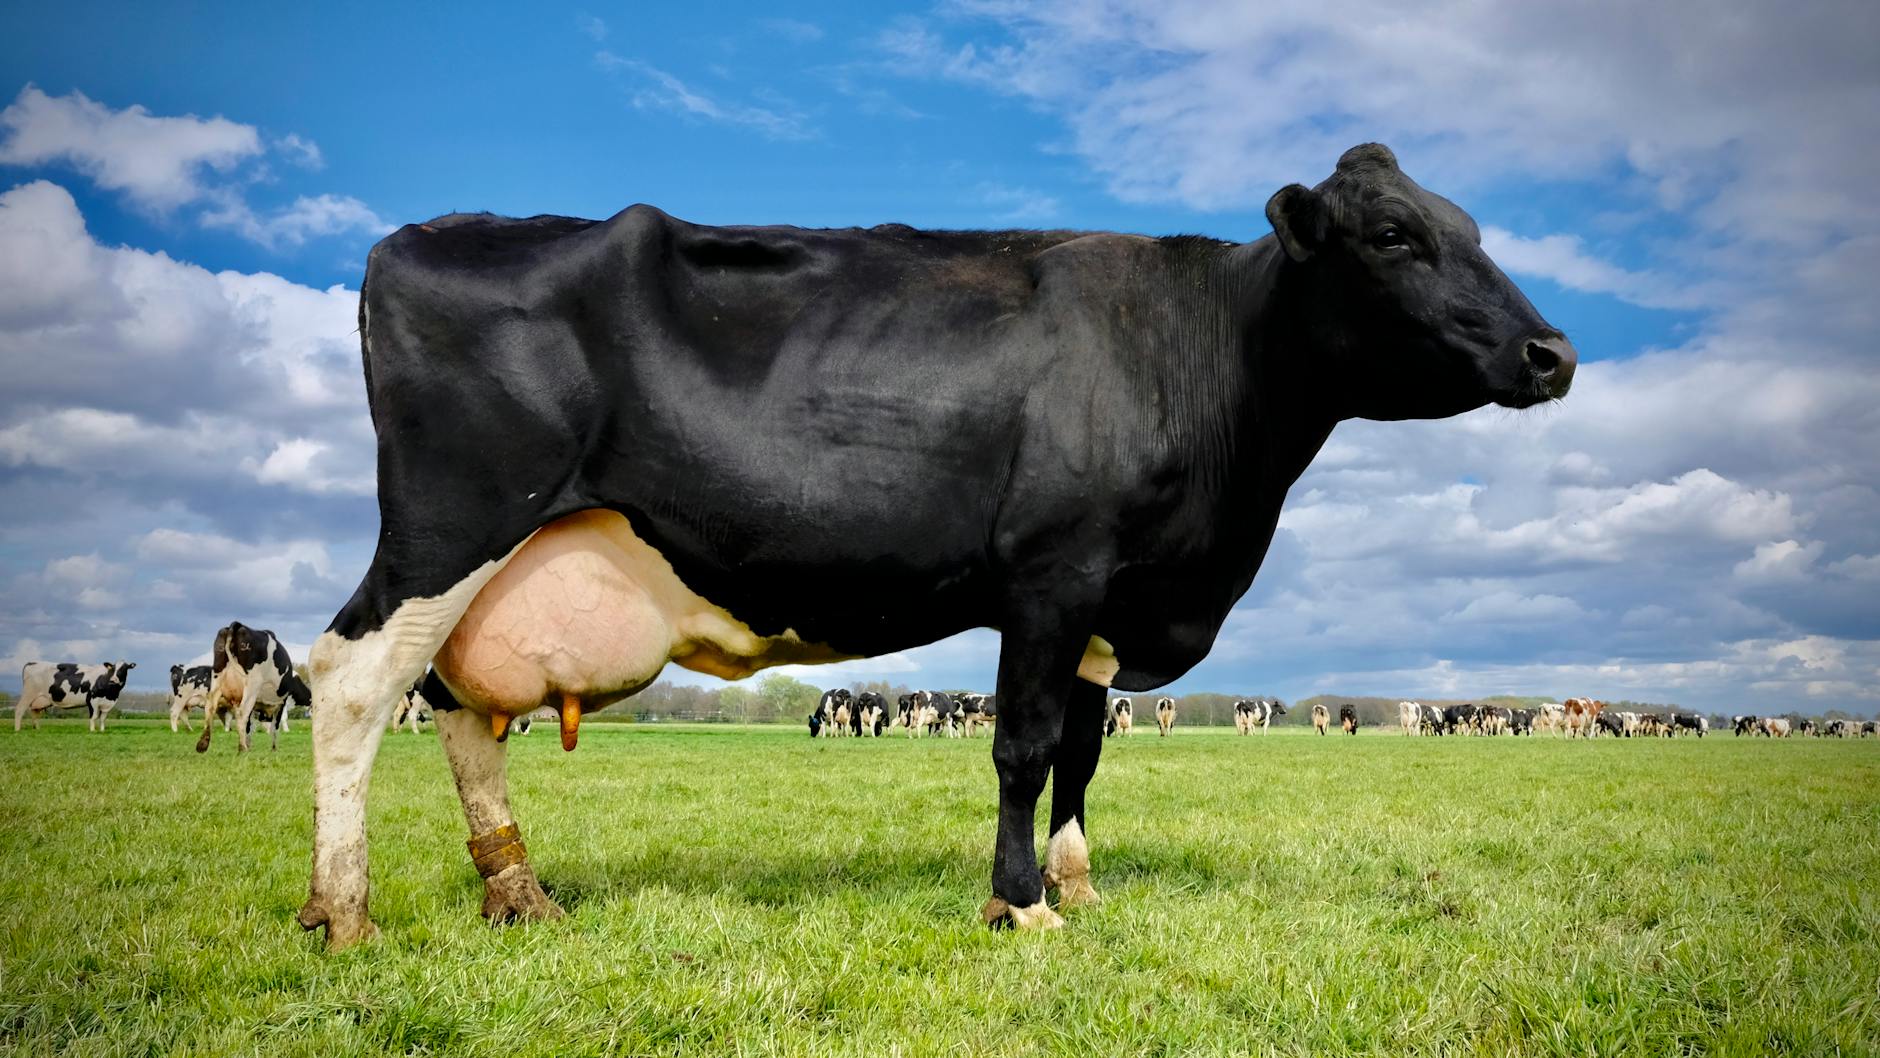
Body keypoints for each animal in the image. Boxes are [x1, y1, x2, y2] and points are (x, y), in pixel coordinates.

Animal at [194, 623, 304, 759]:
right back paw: (242, 748)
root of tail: (238, 625)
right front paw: (273, 749)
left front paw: (249, 744)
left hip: (217, 680)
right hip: (252, 685)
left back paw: (202, 745)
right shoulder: (281, 703)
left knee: (210, 708)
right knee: (241, 713)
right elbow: (274, 727)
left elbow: (249, 726)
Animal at [297, 142, 1586, 950]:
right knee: (355, 678)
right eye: (1392, 235)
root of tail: (417, 238)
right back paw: (343, 909)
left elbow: (1083, 752)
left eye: (1470, 228)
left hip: (491, 561)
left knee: (459, 705)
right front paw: (1017, 904)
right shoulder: (1051, 570)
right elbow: (1021, 747)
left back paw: (518, 891)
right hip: (451, 521)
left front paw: (1077, 881)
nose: (1552, 352)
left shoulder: (1105, 602)